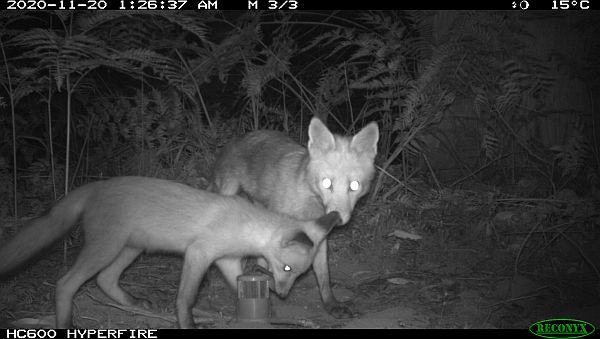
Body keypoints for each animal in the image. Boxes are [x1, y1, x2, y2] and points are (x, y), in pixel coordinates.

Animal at [0, 178, 340, 330]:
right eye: (287, 270)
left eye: (299, 274)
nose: (283, 294)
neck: (244, 225)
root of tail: (96, 185)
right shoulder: (199, 253)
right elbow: (185, 298)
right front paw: (187, 324)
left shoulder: (225, 260)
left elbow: (240, 283)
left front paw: (265, 308)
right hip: (106, 247)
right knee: (66, 283)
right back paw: (65, 323)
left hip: (130, 249)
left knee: (105, 280)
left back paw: (133, 303)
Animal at [213, 117, 378, 318]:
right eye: (326, 183)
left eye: (354, 186)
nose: (338, 218)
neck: (306, 203)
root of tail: (240, 137)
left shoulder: (319, 238)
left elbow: (324, 276)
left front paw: (331, 304)